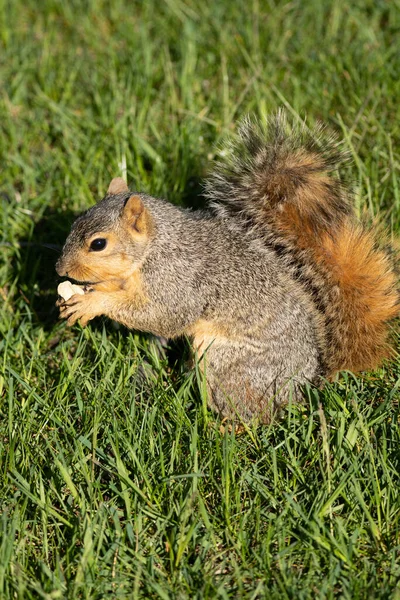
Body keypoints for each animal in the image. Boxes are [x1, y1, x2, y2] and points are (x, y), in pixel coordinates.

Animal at [54, 111, 398, 422]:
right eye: (75, 221)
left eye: (99, 244)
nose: (59, 268)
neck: (155, 248)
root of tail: (305, 386)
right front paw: (88, 292)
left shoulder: (177, 279)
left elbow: (163, 316)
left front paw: (93, 303)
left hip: (228, 364)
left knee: (254, 414)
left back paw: (224, 428)